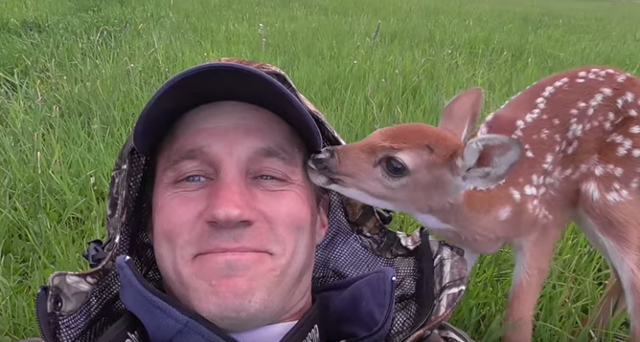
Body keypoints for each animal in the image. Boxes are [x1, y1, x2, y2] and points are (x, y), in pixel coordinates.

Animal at [308, 65, 640, 340]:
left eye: (395, 165)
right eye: (375, 133)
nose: (319, 157)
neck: (491, 213)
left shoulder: (544, 225)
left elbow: (516, 320)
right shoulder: (463, 243)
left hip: (615, 200)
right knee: (618, 278)